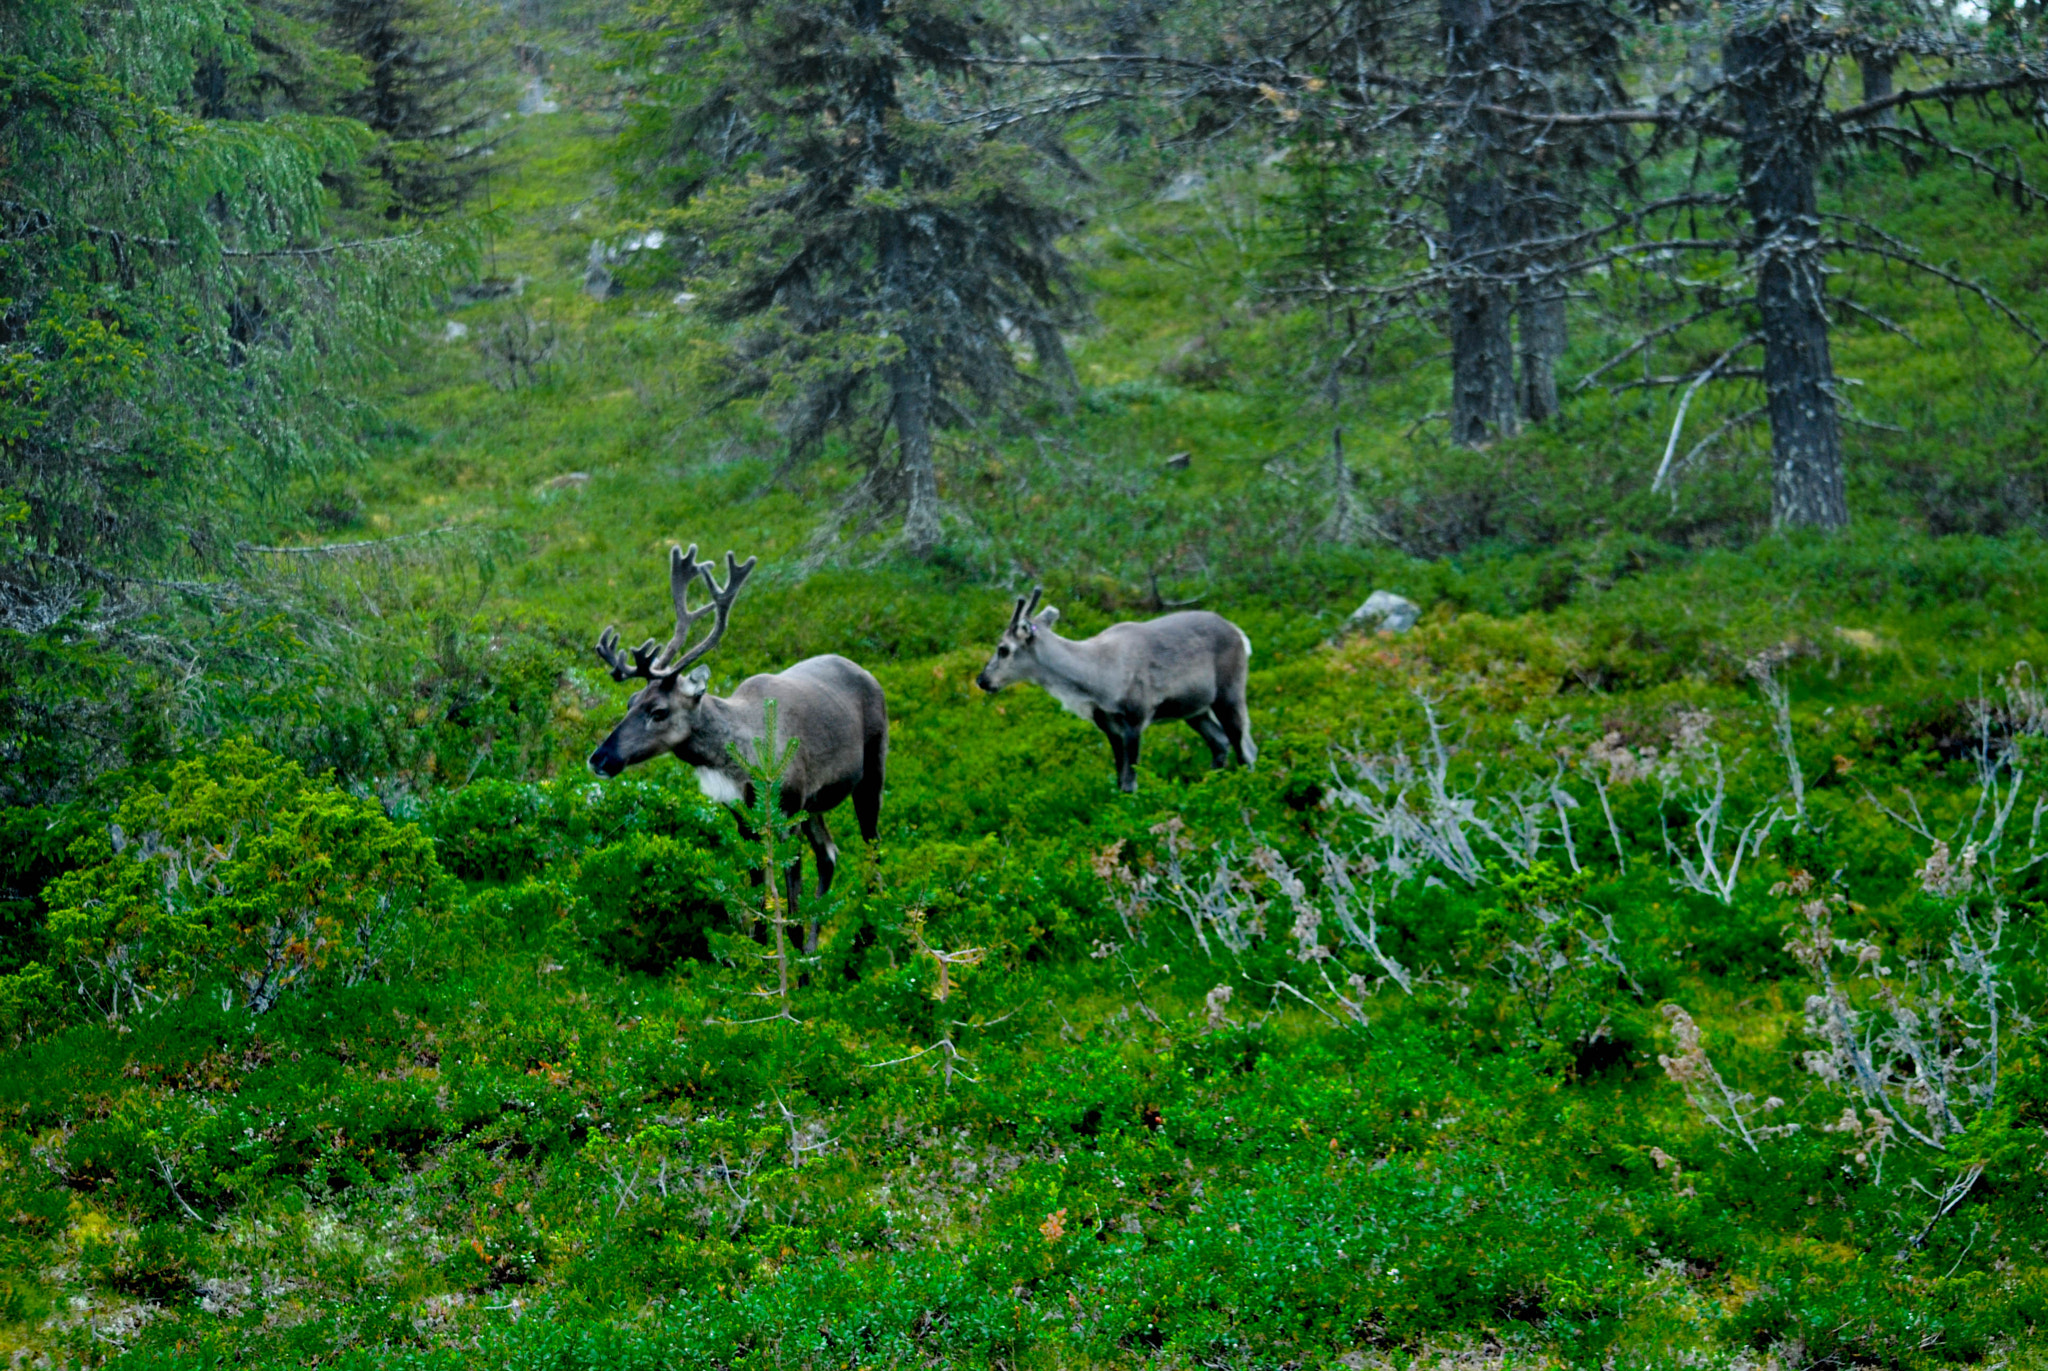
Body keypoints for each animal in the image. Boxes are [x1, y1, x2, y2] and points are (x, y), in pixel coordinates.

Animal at [588, 544, 888, 954]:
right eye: (631, 700)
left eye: (658, 711)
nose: (599, 758)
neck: (741, 762)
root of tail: (869, 673)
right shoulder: (746, 822)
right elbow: (758, 898)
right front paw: (764, 954)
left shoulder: (787, 814)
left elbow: (789, 906)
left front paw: (791, 958)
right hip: (814, 804)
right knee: (829, 854)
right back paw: (817, 950)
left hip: (871, 771)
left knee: (873, 849)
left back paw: (868, 938)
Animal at [975, 588, 1255, 793]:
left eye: (1003, 649)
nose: (982, 680)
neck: (1097, 676)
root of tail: (1239, 633)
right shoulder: (1109, 726)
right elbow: (1120, 779)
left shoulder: (1135, 720)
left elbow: (1130, 782)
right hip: (1194, 710)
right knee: (1220, 742)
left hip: (1228, 695)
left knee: (1245, 748)